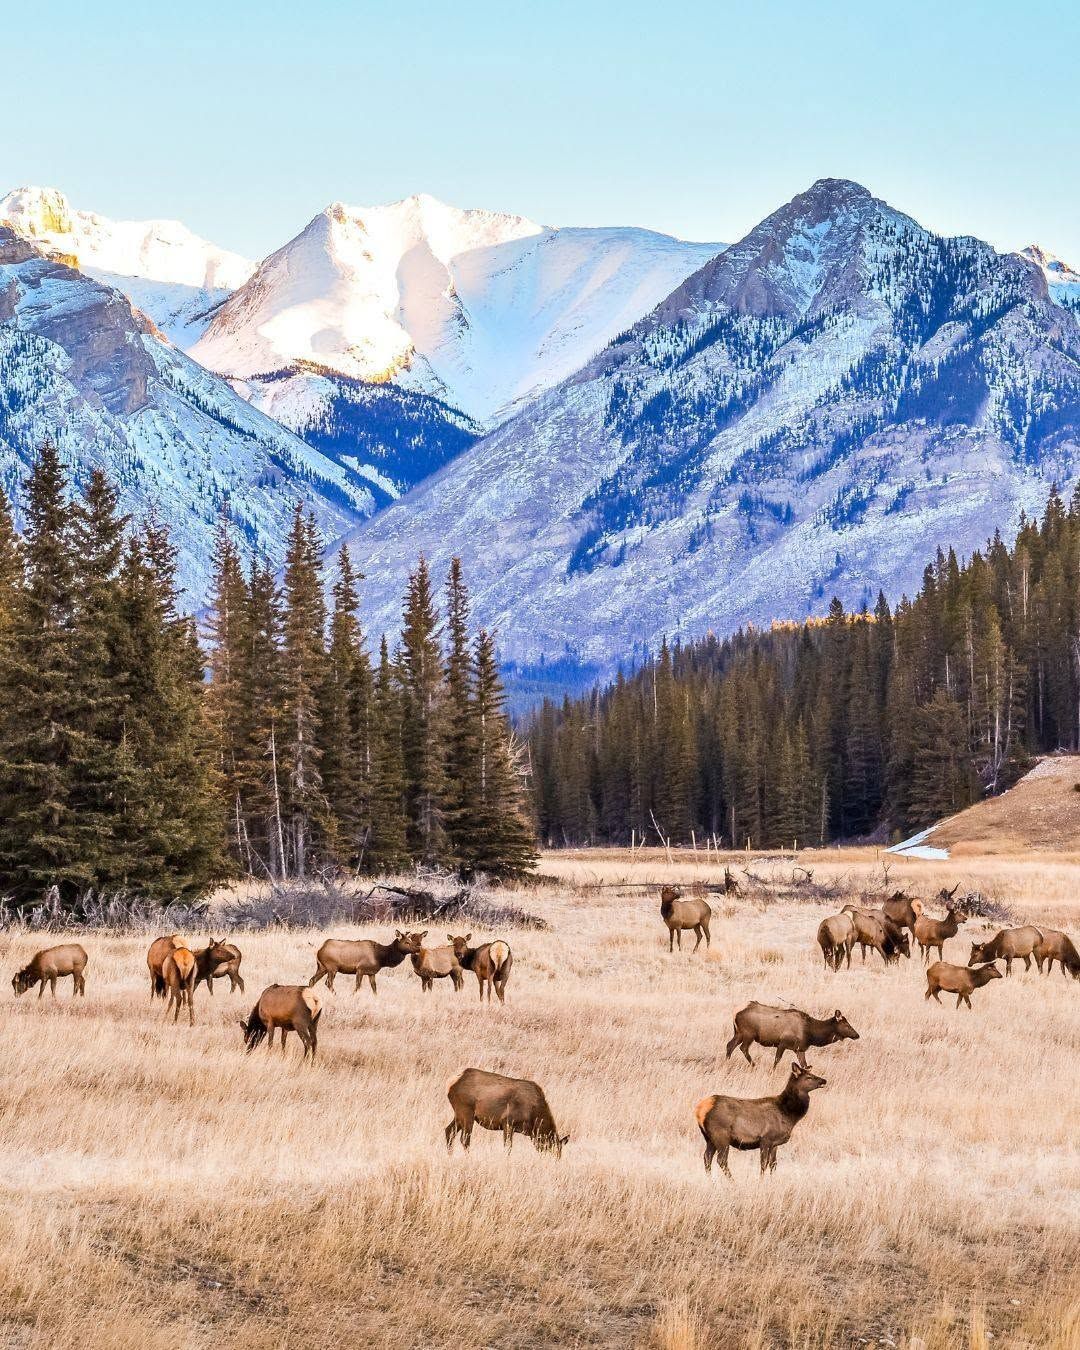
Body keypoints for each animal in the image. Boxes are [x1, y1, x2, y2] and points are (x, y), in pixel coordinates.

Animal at [696, 1061, 826, 1177]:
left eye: (812, 1073)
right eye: (809, 1077)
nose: (824, 1080)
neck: (789, 1115)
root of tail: (700, 1109)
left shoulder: (775, 1143)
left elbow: (773, 1164)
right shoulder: (766, 1139)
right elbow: (764, 1164)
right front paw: (761, 1181)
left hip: (709, 1138)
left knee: (707, 1158)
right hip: (721, 1135)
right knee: (721, 1160)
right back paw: (732, 1182)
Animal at [725, 1003, 859, 1068]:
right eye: (847, 1025)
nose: (857, 1035)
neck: (811, 1034)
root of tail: (734, 1012)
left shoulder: (799, 1049)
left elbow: (805, 1066)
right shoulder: (783, 1043)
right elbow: (776, 1060)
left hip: (738, 1033)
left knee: (729, 1045)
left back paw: (727, 1063)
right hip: (749, 1033)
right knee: (743, 1048)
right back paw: (754, 1065)